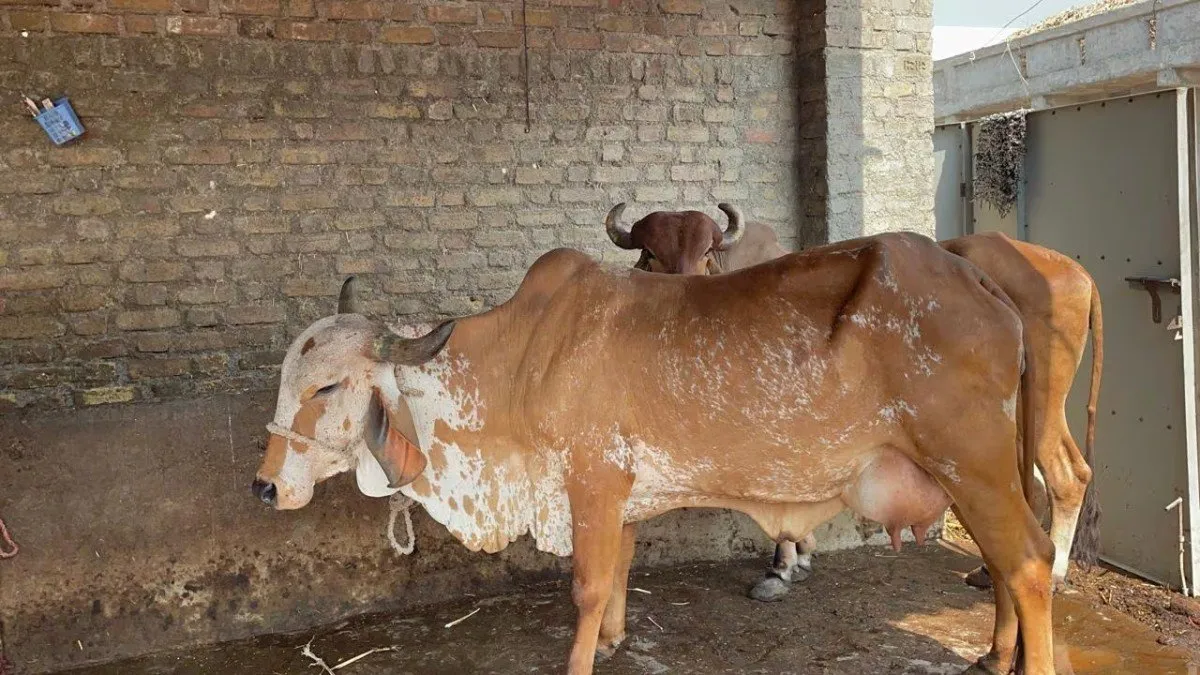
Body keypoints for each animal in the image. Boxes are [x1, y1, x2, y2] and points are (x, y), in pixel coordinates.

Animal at [252, 233, 1055, 675]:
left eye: (326, 384)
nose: (264, 486)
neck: (523, 359)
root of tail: (986, 284)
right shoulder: (625, 494)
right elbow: (618, 574)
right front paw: (611, 642)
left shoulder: (592, 483)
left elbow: (585, 584)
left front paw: (580, 659)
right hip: (977, 474)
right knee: (1004, 565)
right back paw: (994, 653)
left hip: (973, 465)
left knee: (1030, 562)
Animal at [602, 203, 1104, 603]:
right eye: (650, 255)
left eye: (706, 253)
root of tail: (1075, 272)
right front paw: (801, 558)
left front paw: (782, 568)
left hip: (1035, 409)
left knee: (1065, 475)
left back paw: (1054, 572)